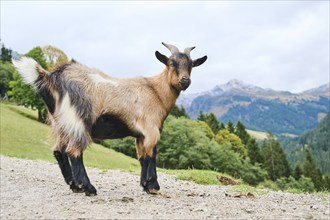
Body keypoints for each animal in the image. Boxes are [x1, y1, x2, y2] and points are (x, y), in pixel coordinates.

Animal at [14, 42, 208, 195]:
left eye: (191, 65)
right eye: (171, 63)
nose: (185, 81)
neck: (155, 91)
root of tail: (52, 77)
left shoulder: (140, 135)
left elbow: (142, 157)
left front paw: (144, 185)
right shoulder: (151, 130)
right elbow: (152, 155)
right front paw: (153, 186)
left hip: (61, 124)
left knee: (58, 151)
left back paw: (74, 186)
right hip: (78, 119)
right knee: (74, 152)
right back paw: (88, 188)